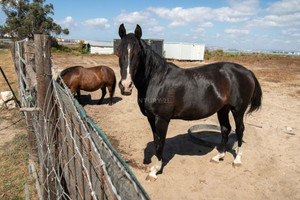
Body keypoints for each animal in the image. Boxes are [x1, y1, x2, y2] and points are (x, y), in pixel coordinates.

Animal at [117, 23, 262, 181]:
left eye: (137, 53)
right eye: (119, 51)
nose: (126, 86)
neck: (156, 80)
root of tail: (247, 72)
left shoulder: (162, 119)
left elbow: (161, 142)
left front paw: (155, 171)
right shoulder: (151, 118)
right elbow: (156, 141)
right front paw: (155, 167)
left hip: (238, 110)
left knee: (240, 130)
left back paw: (237, 160)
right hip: (223, 109)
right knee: (226, 129)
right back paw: (219, 156)